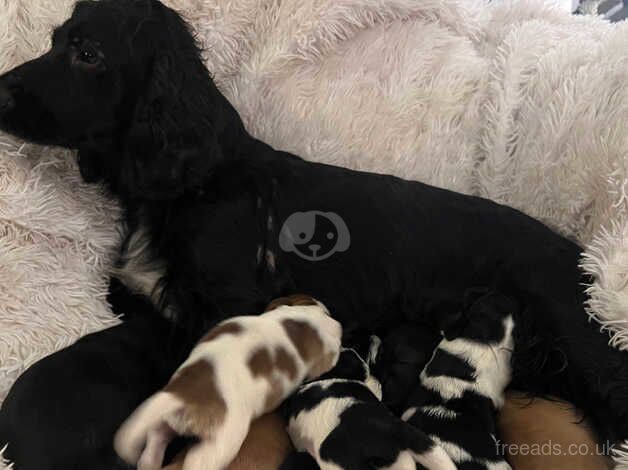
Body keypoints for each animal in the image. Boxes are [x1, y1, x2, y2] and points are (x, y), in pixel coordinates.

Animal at [113, 294, 338, 470]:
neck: (303, 316)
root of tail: (182, 393)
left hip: (166, 422)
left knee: (156, 440)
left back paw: (150, 462)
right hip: (217, 446)